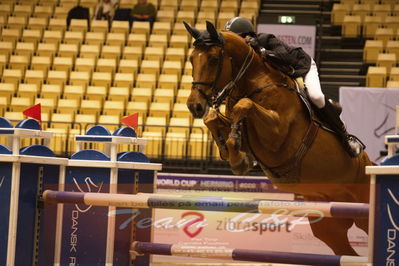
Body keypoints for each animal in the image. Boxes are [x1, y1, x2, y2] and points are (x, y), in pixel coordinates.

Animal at [185, 21, 376, 256]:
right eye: (192, 59)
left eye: (213, 59)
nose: (194, 106)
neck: (253, 81)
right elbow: (214, 118)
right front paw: (232, 153)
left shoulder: (277, 136)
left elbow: (245, 105)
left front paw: (237, 158)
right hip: (328, 224)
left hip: (363, 206)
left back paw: (352, 144)